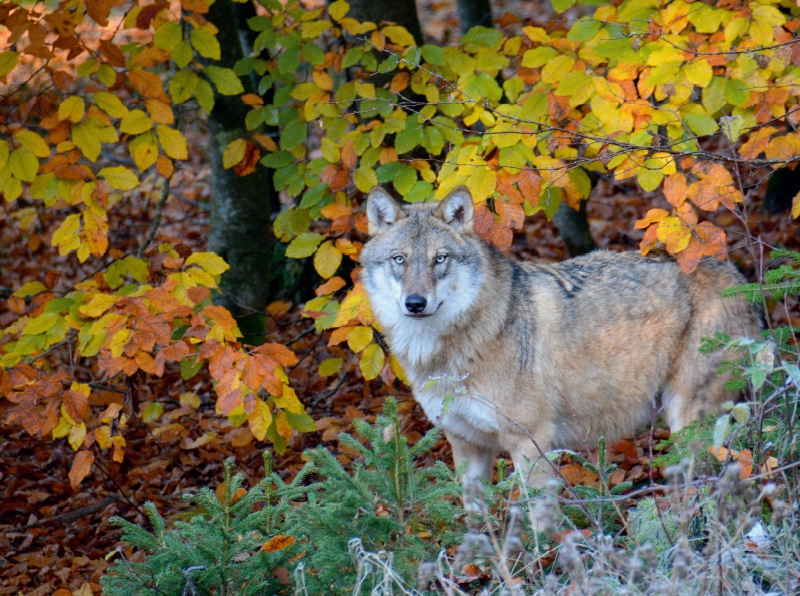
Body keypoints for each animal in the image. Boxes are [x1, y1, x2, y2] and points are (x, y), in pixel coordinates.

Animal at [360, 185, 764, 488]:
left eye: (439, 259)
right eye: (399, 260)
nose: (415, 303)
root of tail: (737, 277)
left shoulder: (530, 441)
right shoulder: (466, 446)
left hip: (687, 419)